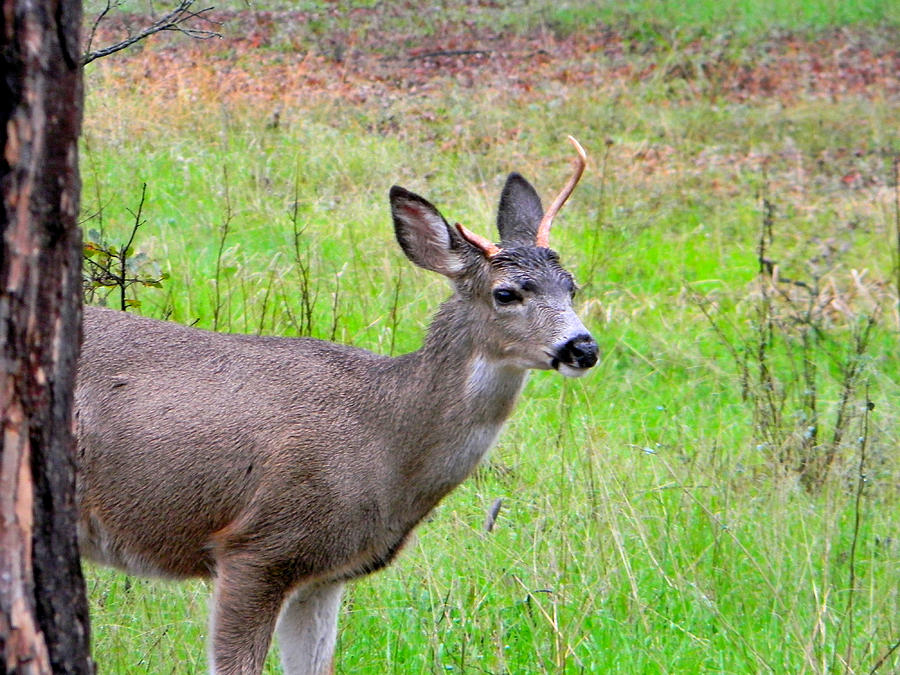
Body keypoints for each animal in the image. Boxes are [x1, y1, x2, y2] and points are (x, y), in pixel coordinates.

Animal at [74, 137, 596, 675]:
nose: (582, 347)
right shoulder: (257, 546)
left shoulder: (326, 572)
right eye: (505, 293)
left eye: (572, 286)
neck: (387, 442)